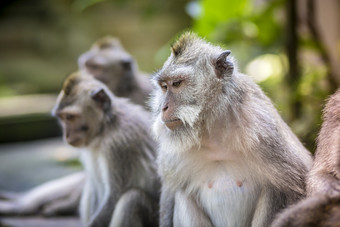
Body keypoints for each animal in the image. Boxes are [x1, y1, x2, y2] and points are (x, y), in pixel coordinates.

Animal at [51, 71, 160, 227]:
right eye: (62, 118)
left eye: (70, 117)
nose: (66, 135)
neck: (107, 126)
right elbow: (97, 187)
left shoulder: (119, 145)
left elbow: (114, 198)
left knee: (131, 199)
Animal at [149, 32, 314, 227]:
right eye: (164, 86)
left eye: (176, 83)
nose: (163, 107)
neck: (212, 130)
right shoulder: (172, 155)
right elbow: (170, 192)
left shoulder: (265, 132)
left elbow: (300, 185)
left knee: (275, 190)